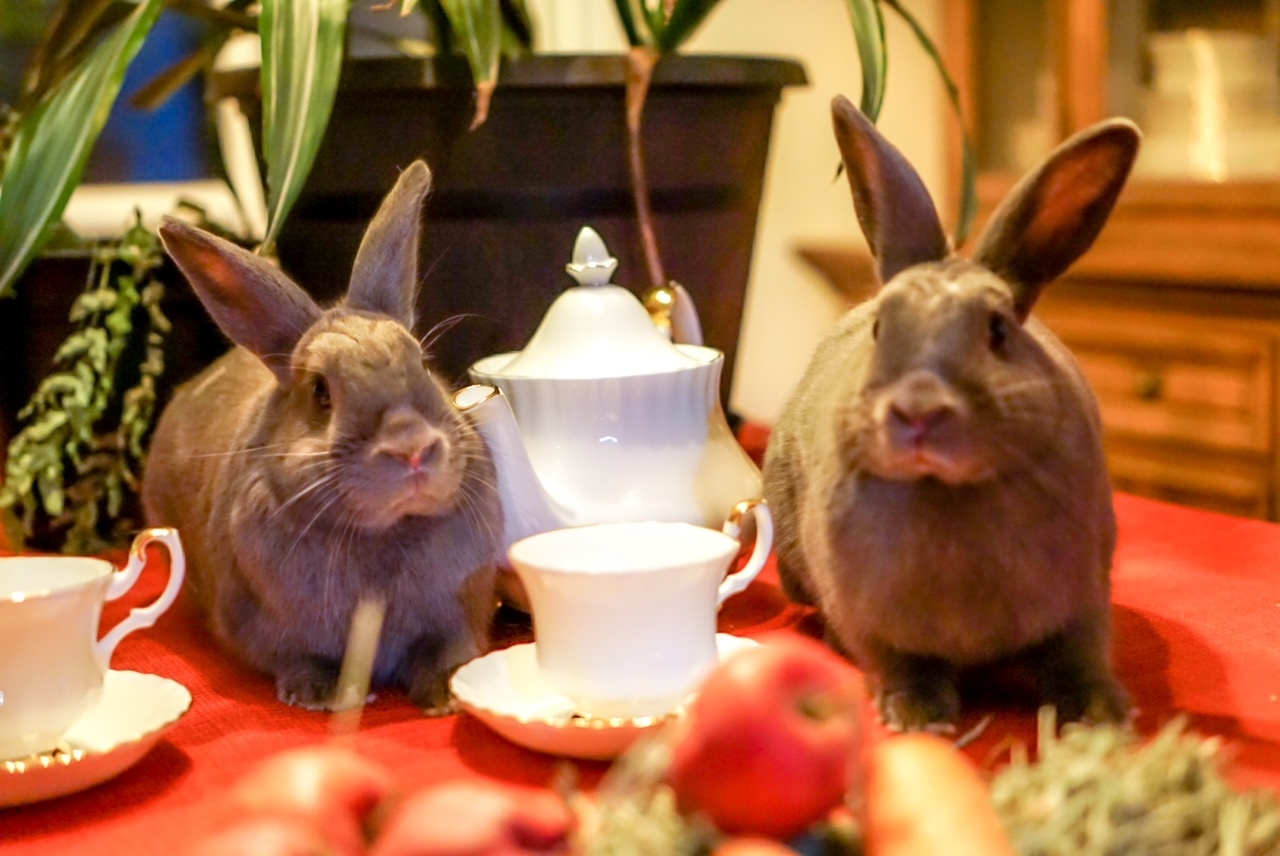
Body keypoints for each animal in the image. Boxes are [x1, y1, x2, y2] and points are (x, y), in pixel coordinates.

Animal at [142, 161, 503, 713]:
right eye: (320, 392)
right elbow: (301, 660)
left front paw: (448, 693)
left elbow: (445, 651)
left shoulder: (456, 613)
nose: (412, 449)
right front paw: (326, 696)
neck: (384, 534)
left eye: (422, 363)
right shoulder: (277, 634)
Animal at [763, 96, 1141, 732]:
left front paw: (1099, 714)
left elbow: (1077, 655)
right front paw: (917, 716)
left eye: (999, 330)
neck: (945, 490)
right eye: (880, 328)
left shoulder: (1084, 599)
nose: (917, 411)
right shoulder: (869, 619)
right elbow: (898, 662)